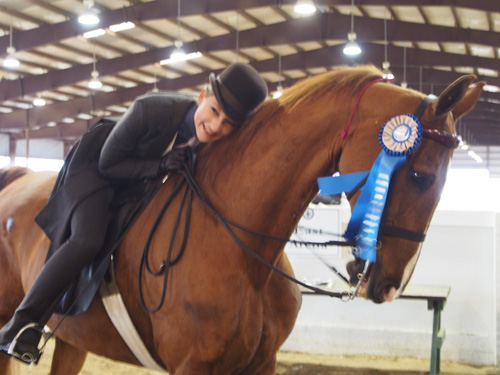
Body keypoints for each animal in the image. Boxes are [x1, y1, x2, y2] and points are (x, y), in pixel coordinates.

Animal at [0, 66, 484, 374]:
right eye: (421, 177)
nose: (389, 285)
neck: (241, 249)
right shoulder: (192, 367)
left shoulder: (261, 364)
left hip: (71, 340)